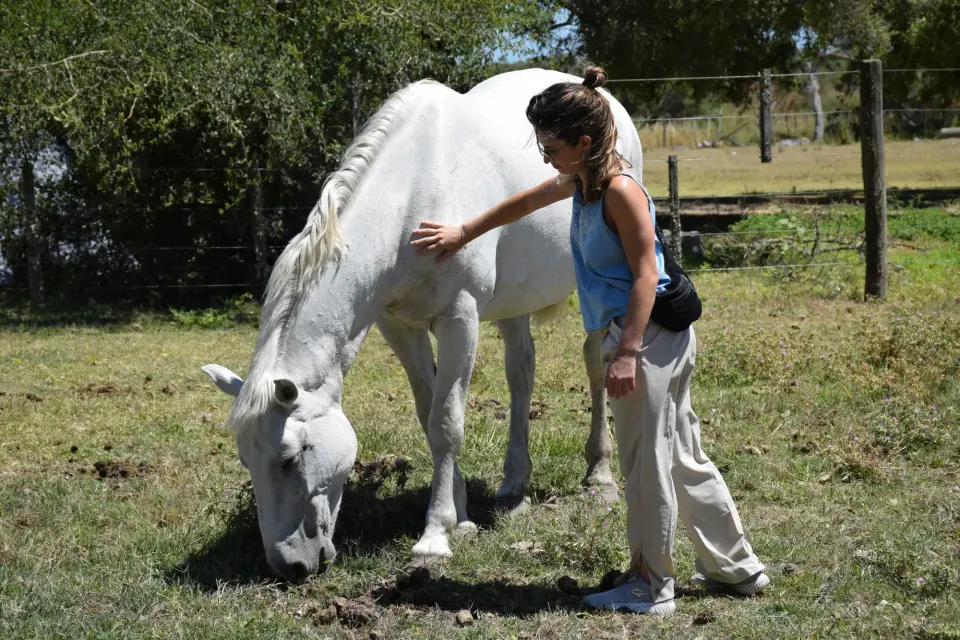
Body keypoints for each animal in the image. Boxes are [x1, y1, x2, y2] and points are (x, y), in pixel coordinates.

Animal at [201, 68, 644, 581]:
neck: (412, 195)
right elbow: (428, 414)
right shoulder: (399, 327)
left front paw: (435, 536)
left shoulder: (459, 319)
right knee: (521, 374)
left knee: (597, 364)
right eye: (244, 458)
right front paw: (462, 516)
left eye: (290, 459)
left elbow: (447, 422)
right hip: (513, 305)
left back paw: (600, 476)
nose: (288, 565)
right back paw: (514, 485)